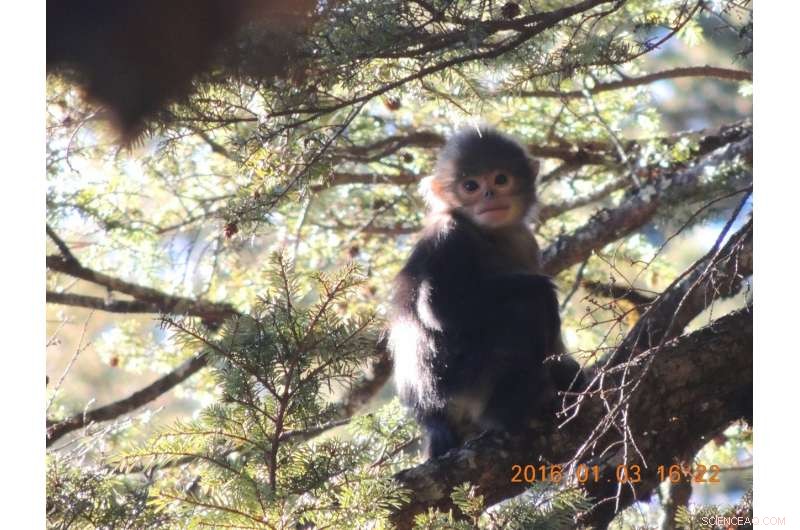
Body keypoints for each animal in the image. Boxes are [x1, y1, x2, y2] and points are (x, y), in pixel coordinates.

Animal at [388, 126, 584, 459]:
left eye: (500, 179)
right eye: (471, 186)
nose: (489, 194)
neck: (488, 234)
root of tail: (431, 414)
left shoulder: (525, 239)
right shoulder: (448, 236)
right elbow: (438, 309)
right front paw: (541, 287)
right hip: (462, 381)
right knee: (526, 306)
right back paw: (507, 413)